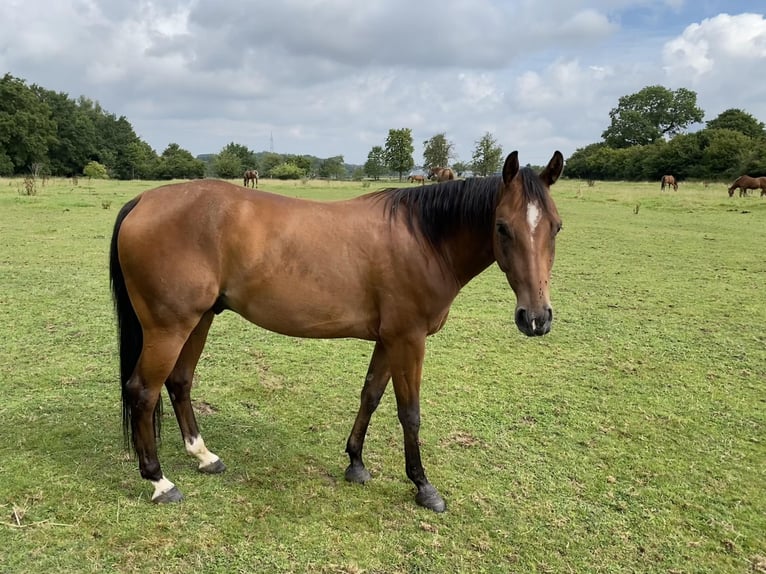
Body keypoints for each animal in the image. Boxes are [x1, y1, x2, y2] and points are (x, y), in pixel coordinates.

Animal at [109, 150, 564, 513]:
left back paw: (204, 456)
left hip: (200, 319)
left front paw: (356, 463)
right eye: (502, 227)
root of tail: (143, 200)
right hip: (169, 327)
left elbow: (371, 395)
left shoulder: (389, 339)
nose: (536, 318)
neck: (424, 238)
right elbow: (410, 413)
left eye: (556, 227)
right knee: (143, 391)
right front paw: (423, 486)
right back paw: (159, 481)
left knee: (179, 382)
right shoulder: (409, 339)